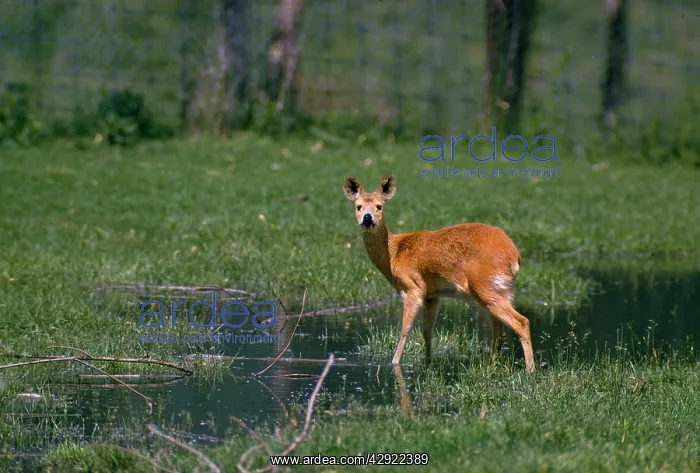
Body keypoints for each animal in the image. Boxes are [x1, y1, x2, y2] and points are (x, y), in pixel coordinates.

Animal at [343, 173, 535, 373]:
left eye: (379, 206)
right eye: (358, 206)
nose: (367, 218)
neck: (394, 254)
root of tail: (514, 254)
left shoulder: (413, 287)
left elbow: (405, 329)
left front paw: (395, 363)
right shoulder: (432, 294)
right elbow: (427, 331)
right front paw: (428, 362)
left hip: (484, 285)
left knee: (521, 322)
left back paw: (530, 371)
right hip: (500, 290)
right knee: (499, 330)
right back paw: (494, 364)